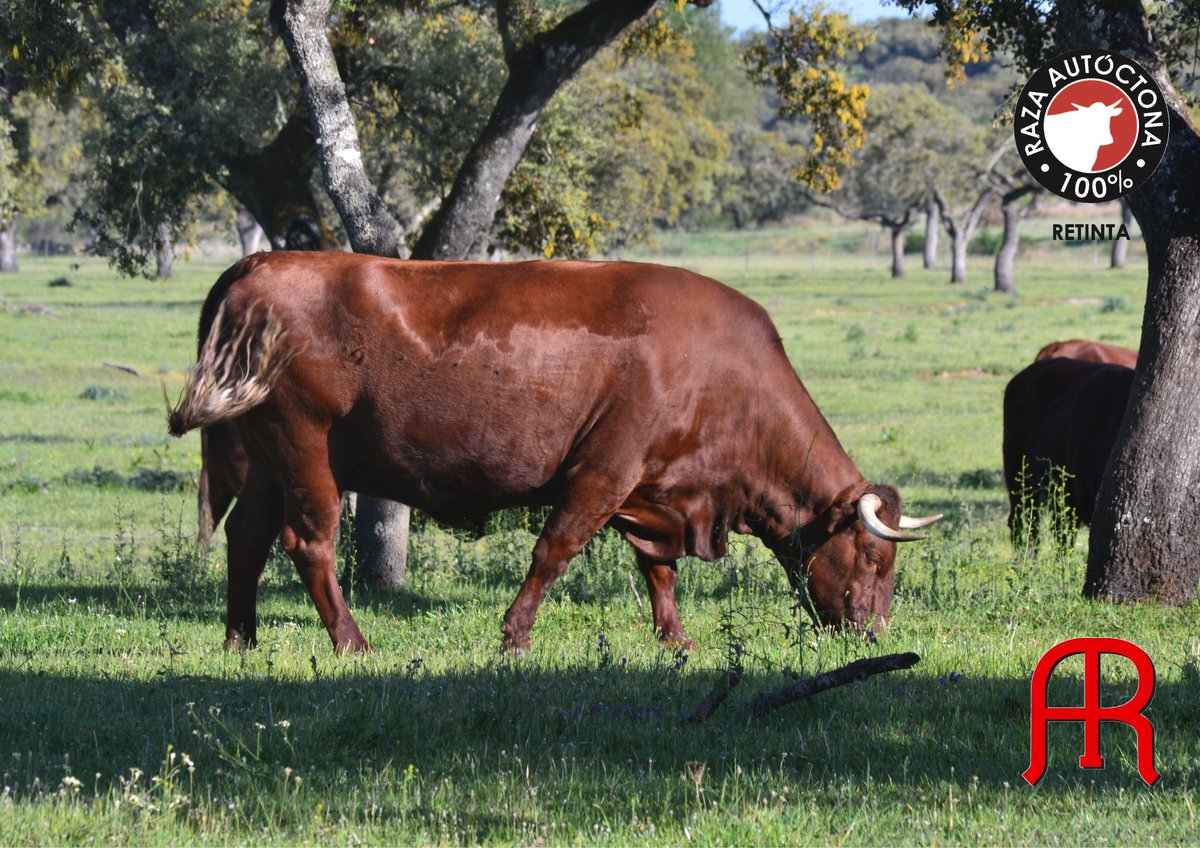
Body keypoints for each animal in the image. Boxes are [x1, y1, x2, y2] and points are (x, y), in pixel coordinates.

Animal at [169, 248, 936, 652]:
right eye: (874, 557)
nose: (875, 632)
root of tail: (259, 263)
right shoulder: (603, 472)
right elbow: (554, 552)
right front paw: (514, 635)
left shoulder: (653, 492)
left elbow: (658, 571)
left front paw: (675, 639)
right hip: (306, 452)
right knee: (309, 544)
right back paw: (353, 642)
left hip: (265, 460)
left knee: (246, 538)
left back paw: (241, 638)